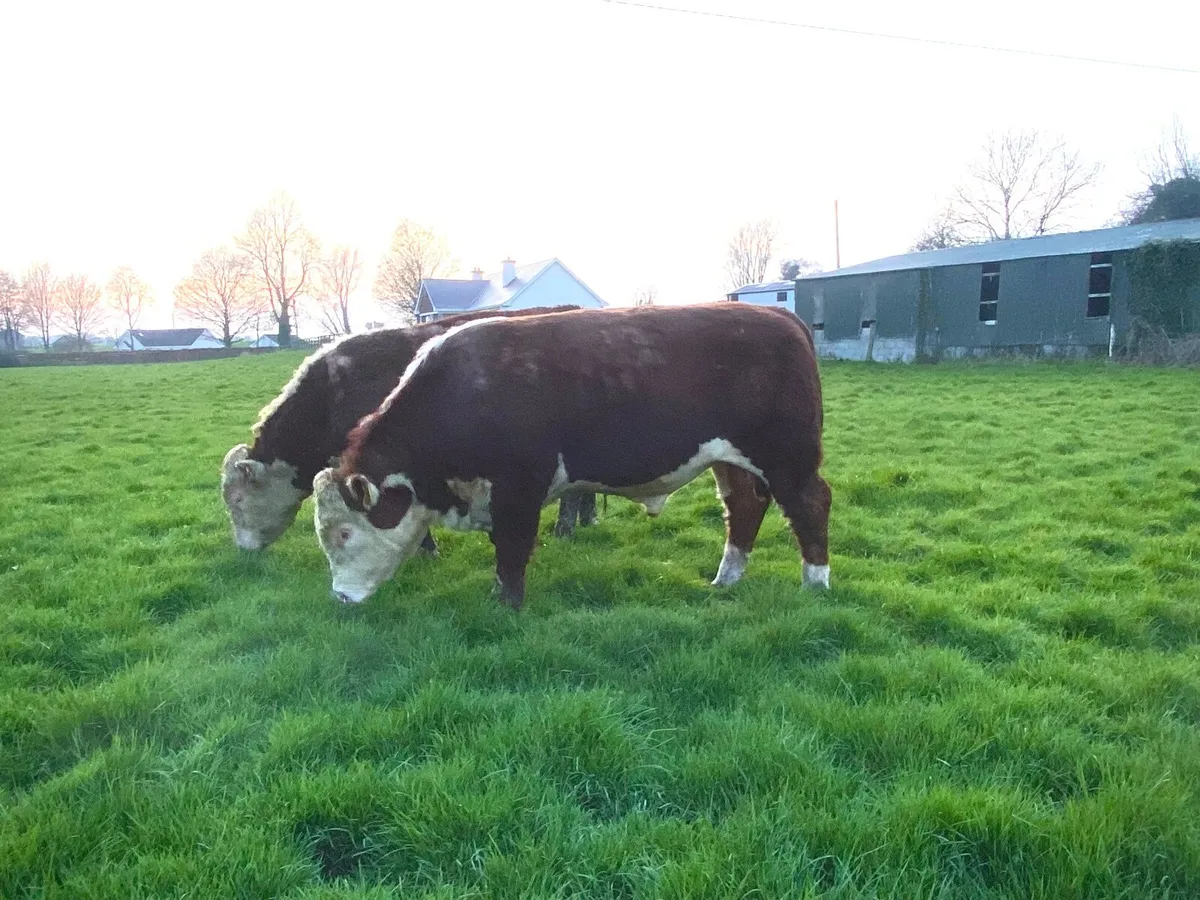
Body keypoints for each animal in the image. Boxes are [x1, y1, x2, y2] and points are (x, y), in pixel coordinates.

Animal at [220, 306, 599, 553]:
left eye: (237, 499)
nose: (243, 550)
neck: (329, 395)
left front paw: (426, 550)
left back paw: (565, 527)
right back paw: (587, 520)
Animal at [311, 303, 832, 609]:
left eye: (344, 532)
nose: (340, 598)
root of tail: (777, 315)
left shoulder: (519, 487)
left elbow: (512, 548)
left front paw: (507, 605)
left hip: (787, 457)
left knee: (811, 504)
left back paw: (816, 583)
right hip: (730, 459)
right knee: (745, 506)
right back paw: (726, 580)